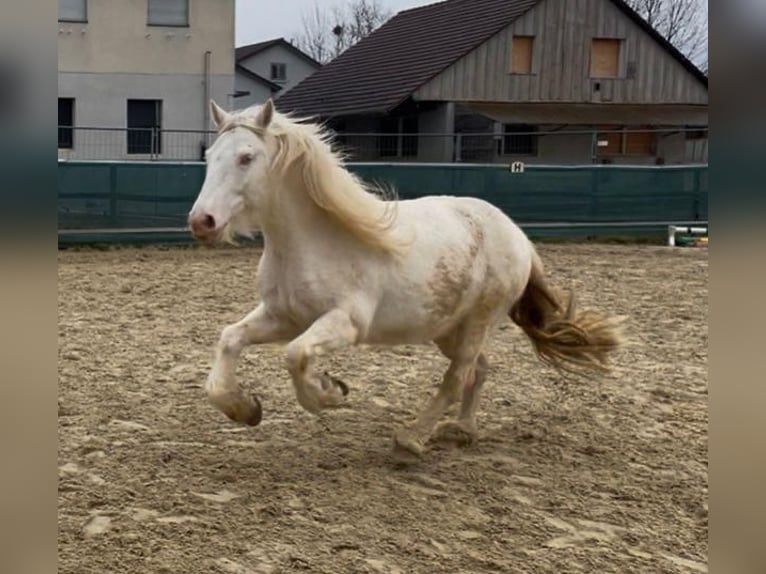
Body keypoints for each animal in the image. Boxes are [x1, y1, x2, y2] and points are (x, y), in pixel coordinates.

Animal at [187, 98, 625, 459]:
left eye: (246, 157)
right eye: (210, 156)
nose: (201, 221)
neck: (314, 241)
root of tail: (518, 237)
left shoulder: (344, 323)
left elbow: (296, 355)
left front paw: (328, 394)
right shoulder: (282, 316)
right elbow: (230, 339)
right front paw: (244, 408)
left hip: (478, 322)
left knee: (457, 377)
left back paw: (411, 438)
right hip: (448, 329)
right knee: (479, 370)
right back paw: (461, 431)